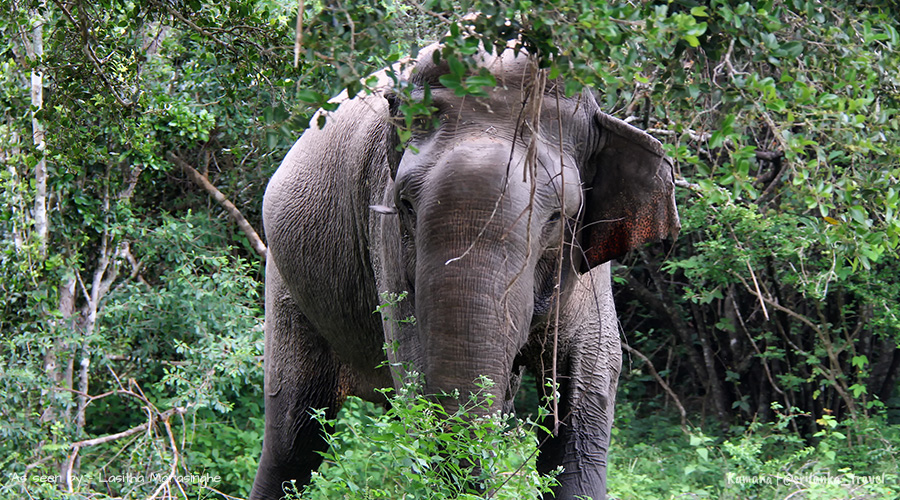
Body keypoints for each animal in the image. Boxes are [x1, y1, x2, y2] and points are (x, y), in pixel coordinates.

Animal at [250, 44, 680, 500]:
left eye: (557, 217)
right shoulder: (383, 230)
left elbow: (589, 377)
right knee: (293, 432)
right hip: (284, 278)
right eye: (406, 205)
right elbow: (415, 370)